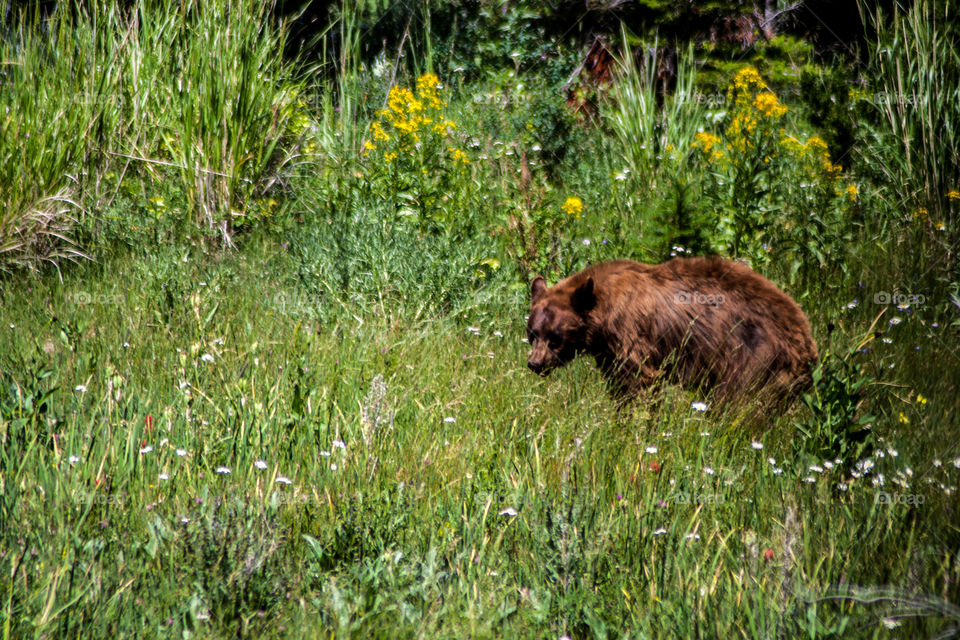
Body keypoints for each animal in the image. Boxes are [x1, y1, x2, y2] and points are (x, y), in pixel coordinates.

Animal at [524, 258, 816, 402]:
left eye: (556, 338)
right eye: (532, 333)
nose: (535, 364)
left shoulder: (632, 335)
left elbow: (640, 382)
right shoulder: (608, 352)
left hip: (755, 359)